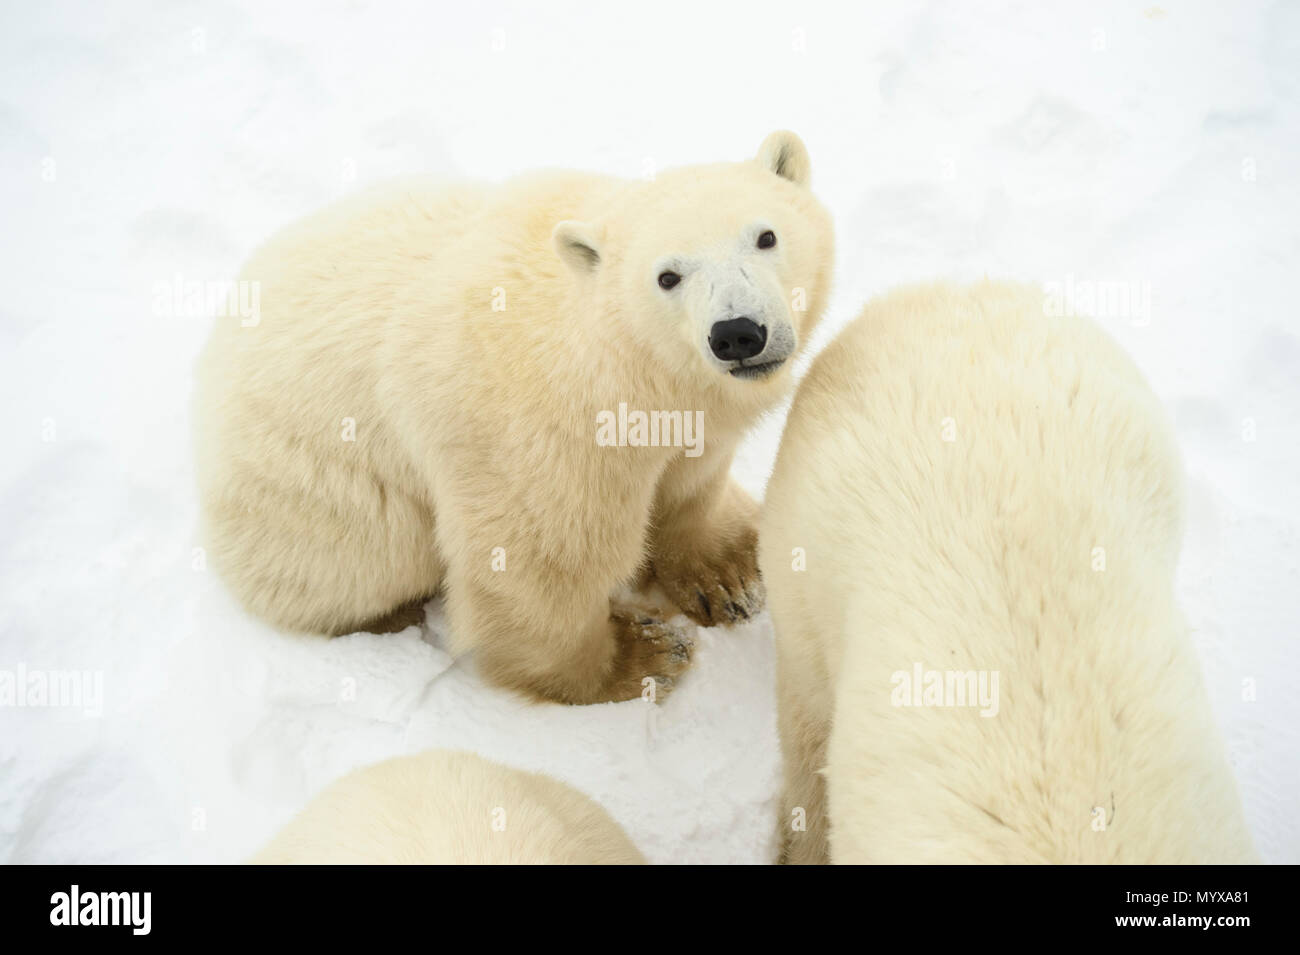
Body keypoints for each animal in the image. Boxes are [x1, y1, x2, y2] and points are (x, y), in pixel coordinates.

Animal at [197, 130, 837, 706]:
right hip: (315, 496)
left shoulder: (684, 414)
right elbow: (541, 561)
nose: (737, 333)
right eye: (667, 277)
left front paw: (727, 576)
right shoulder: (545, 428)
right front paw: (643, 656)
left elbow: (690, 478)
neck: (624, 365)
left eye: (766, 236)